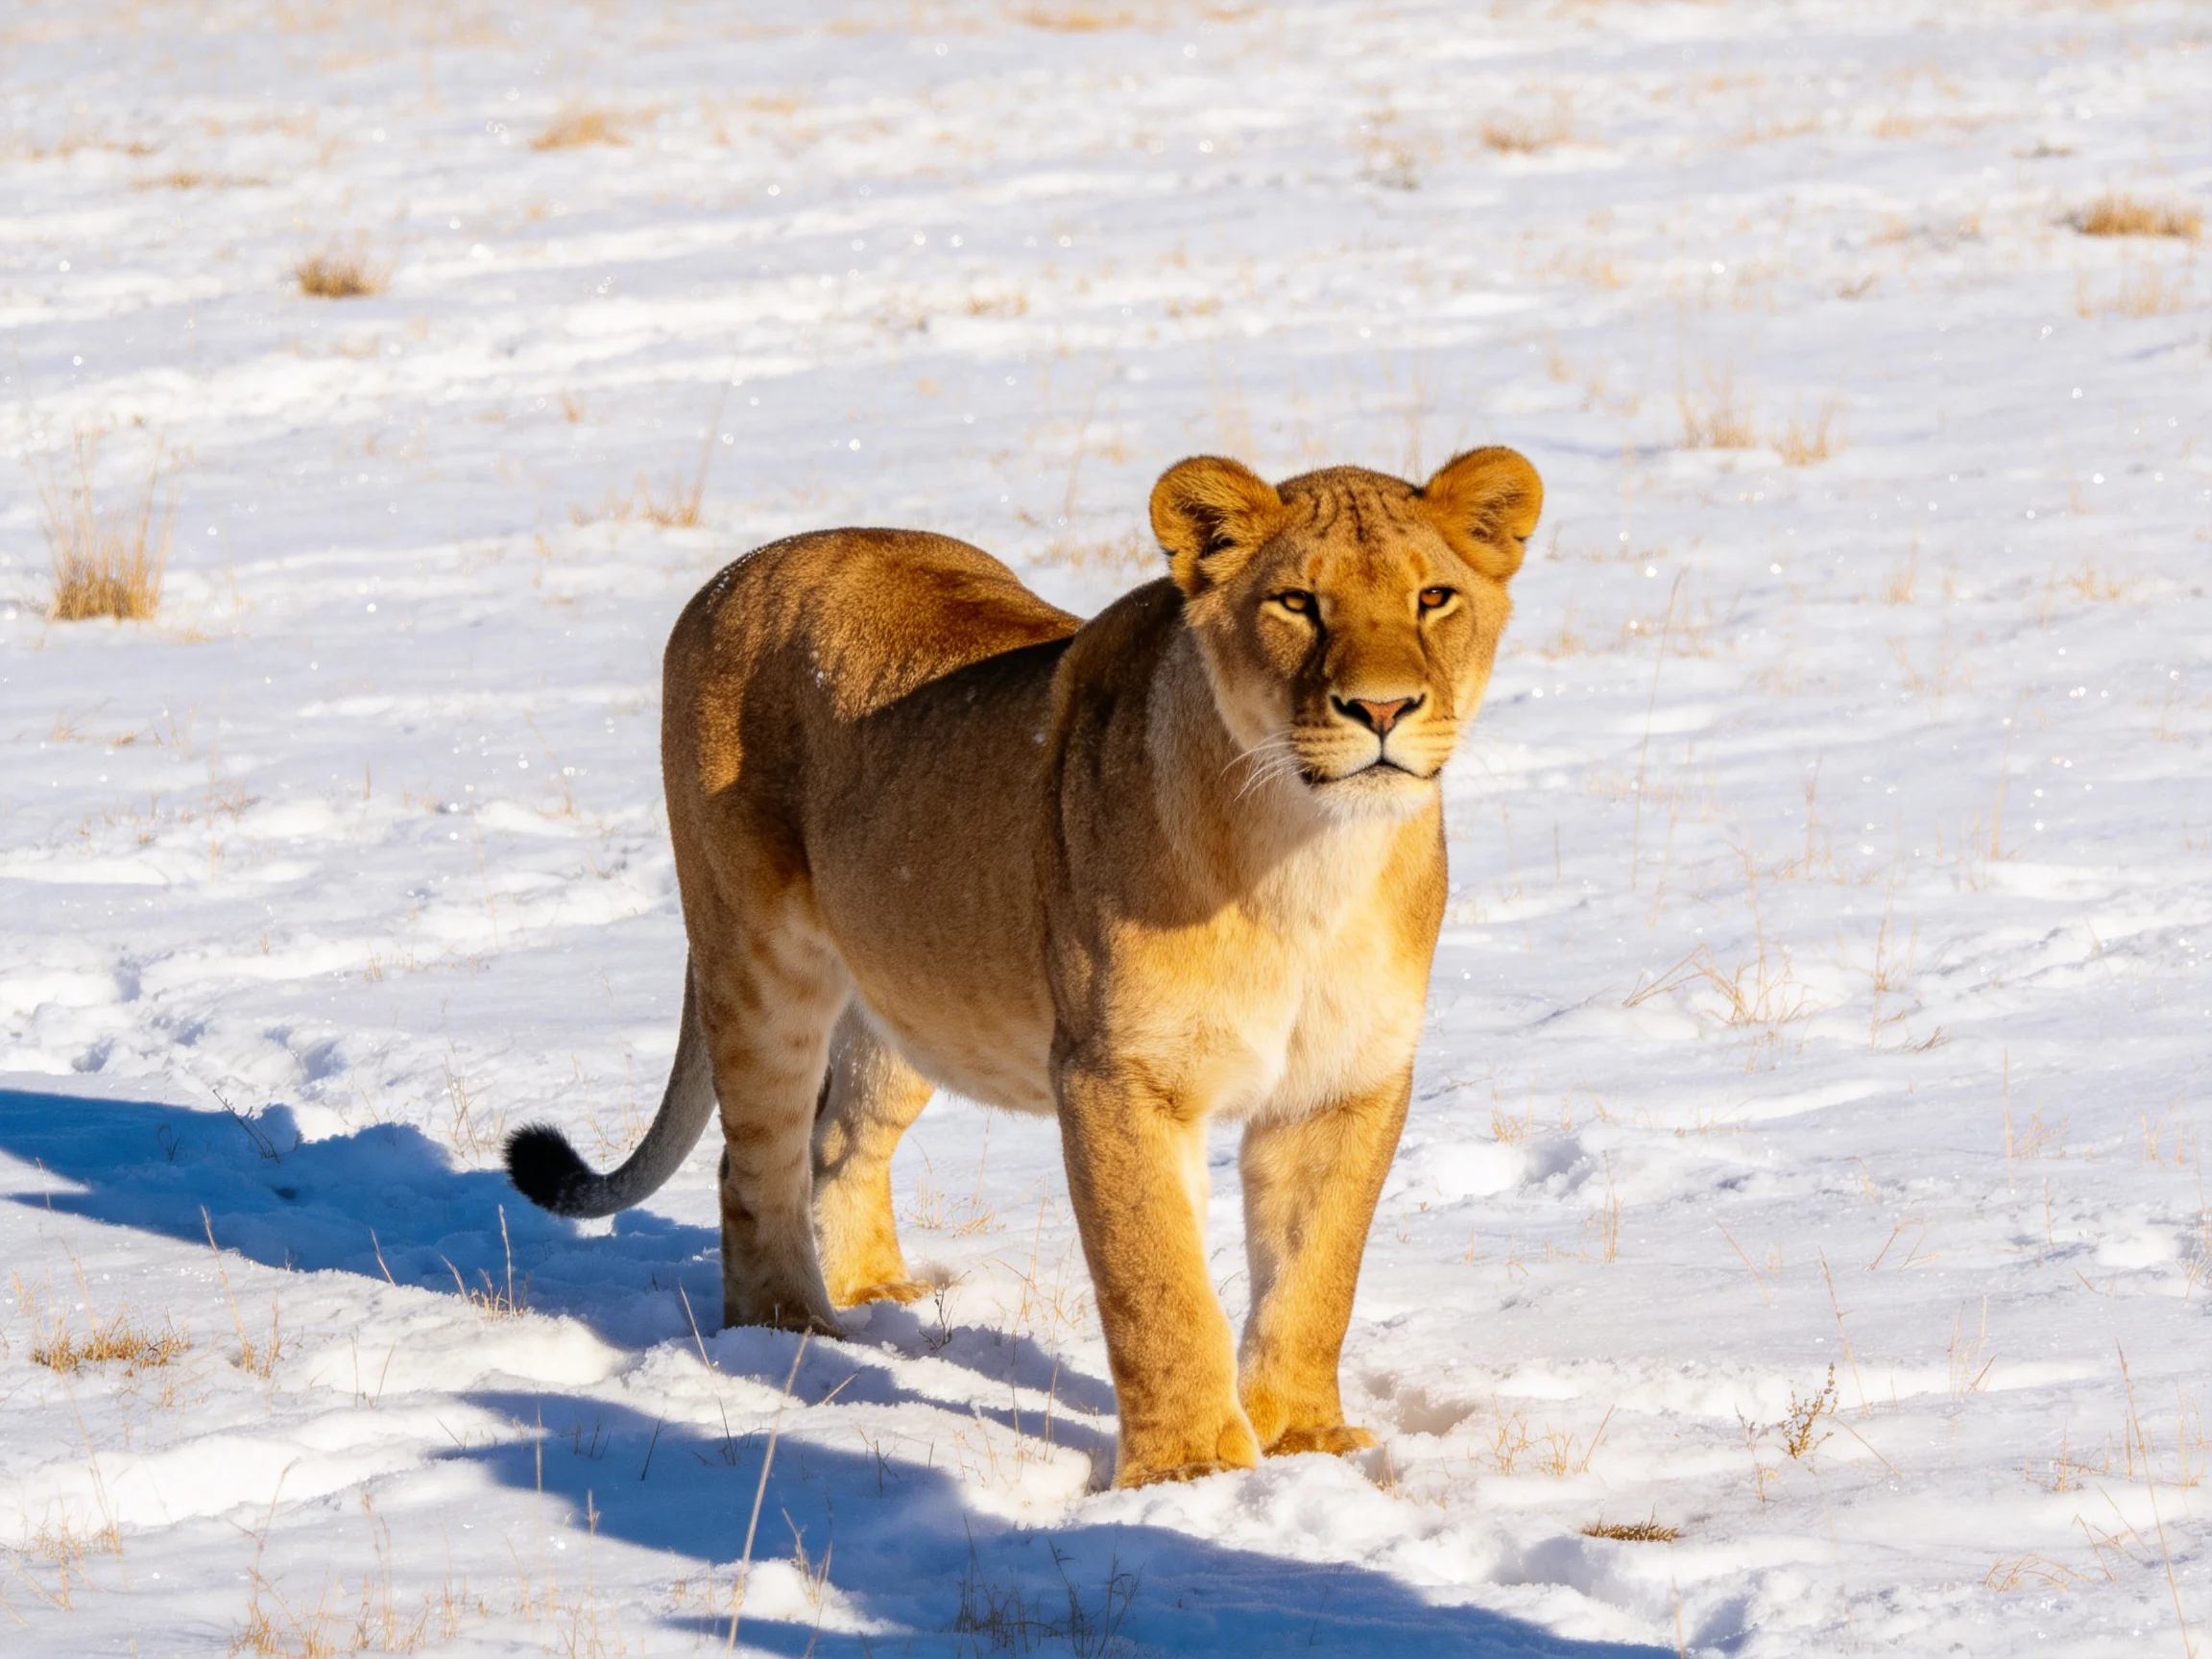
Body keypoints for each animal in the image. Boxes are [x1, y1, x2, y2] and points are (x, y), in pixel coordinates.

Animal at [505, 446, 1542, 1487]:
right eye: (1297, 603)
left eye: (1434, 597)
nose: (1382, 707)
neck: (1309, 859)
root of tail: (751, 563)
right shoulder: (1118, 1074)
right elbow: (1158, 1283)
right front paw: (1187, 1471)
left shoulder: (1342, 1082)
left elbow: (1314, 1276)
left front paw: (1301, 1440)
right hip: (761, 962)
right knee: (753, 1161)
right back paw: (793, 1340)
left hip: (906, 998)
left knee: (840, 1140)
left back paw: (881, 1297)